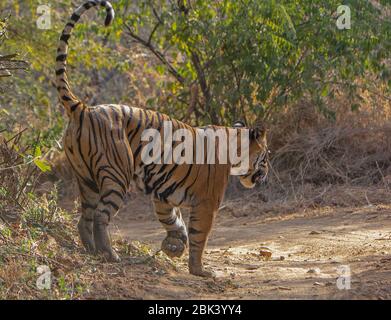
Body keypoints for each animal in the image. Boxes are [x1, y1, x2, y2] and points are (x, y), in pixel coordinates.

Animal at [56, 0, 270, 276]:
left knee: (85, 218)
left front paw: (173, 247)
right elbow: (199, 236)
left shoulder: (164, 197)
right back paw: (110, 255)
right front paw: (199, 270)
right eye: (265, 156)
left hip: (86, 178)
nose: (266, 173)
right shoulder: (206, 203)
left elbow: (176, 223)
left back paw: (92, 251)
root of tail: (84, 108)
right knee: (101, 217)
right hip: (116, 175)